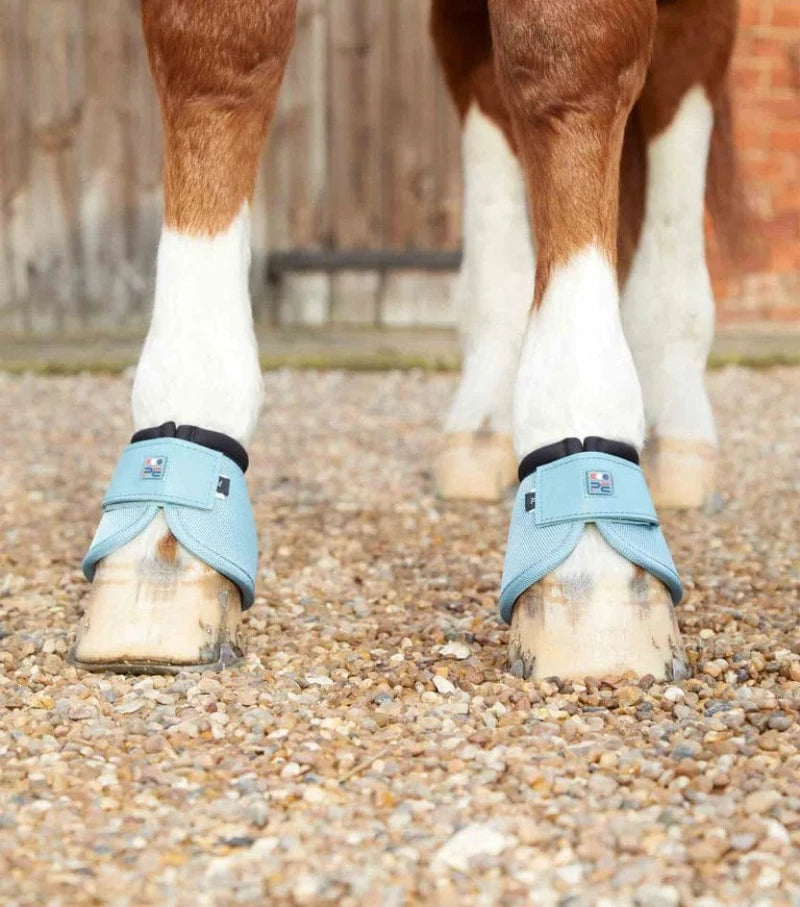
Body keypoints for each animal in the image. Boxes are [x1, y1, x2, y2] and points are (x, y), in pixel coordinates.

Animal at [74, 0, 739, 682]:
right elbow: (215, 65)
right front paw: (160, 551)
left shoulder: (581, 58)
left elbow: (570, 70)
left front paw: (594, 566)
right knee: (486, 84)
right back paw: (482, 428)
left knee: (680, 81)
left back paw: (678, 435)